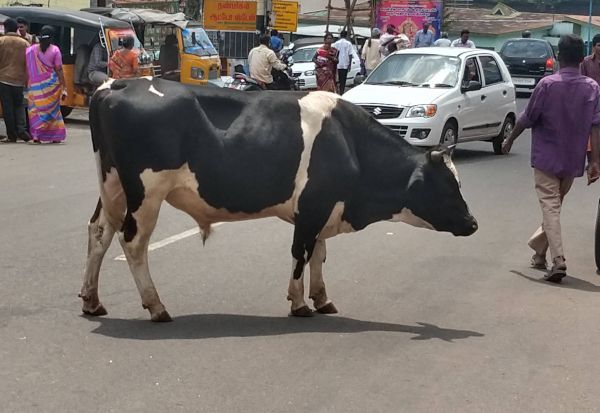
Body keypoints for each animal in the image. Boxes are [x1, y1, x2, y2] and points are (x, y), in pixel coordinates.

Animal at [79, 78, 476, 322]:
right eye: (447, 185)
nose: (473, 223)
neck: (351, 144)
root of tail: (117, 84)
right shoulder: (312, 206)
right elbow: (301, 254)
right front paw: (300, 303)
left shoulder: (322, 208)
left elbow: (319, 253)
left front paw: (322, 298)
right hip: (146, 193)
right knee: (133, 242)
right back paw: (156, 306)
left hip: (112, 185)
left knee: (99, 232)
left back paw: (92, 301)